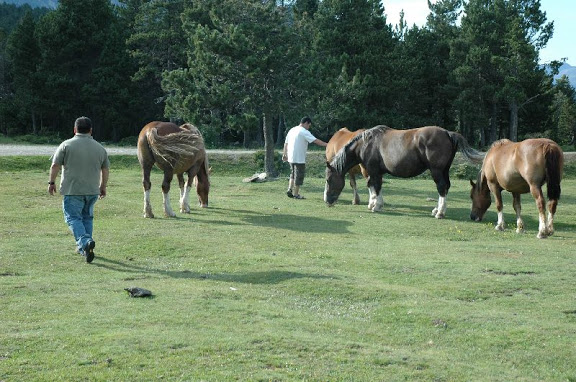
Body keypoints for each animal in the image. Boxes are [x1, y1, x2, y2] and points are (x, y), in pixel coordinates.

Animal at [326, 125, 484, 218]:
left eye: (328, 180)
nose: (327, 201)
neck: (366, 143)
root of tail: (447, 133)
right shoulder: (376, 172)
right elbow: (376, 186)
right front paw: (375, 204)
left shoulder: (373, 170)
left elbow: (374, 186)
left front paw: (375, 205)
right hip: (444, 170)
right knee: (446, 187)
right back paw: (437, 209)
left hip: (437, 171)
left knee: (441, 187)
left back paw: (439, 212)